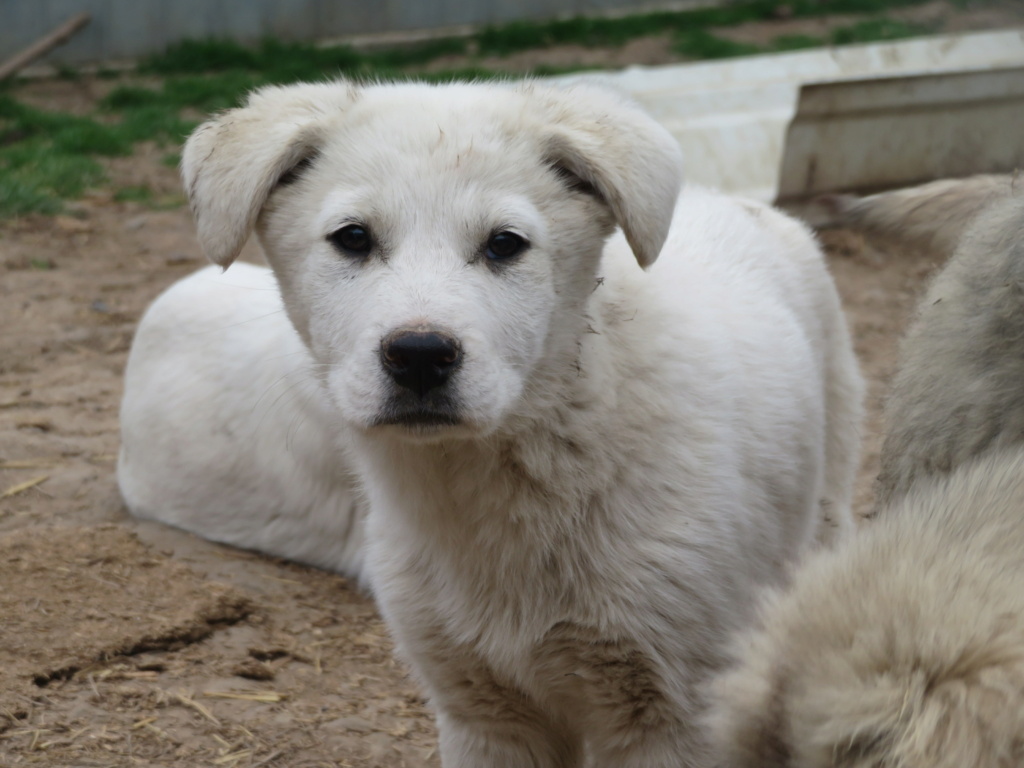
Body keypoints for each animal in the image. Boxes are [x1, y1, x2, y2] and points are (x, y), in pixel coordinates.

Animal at [117, 81, 864, 765]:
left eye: (505, 245)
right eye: (352, 238)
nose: (420, 356)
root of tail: (733, 199)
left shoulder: (672, 711)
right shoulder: (481, 708)